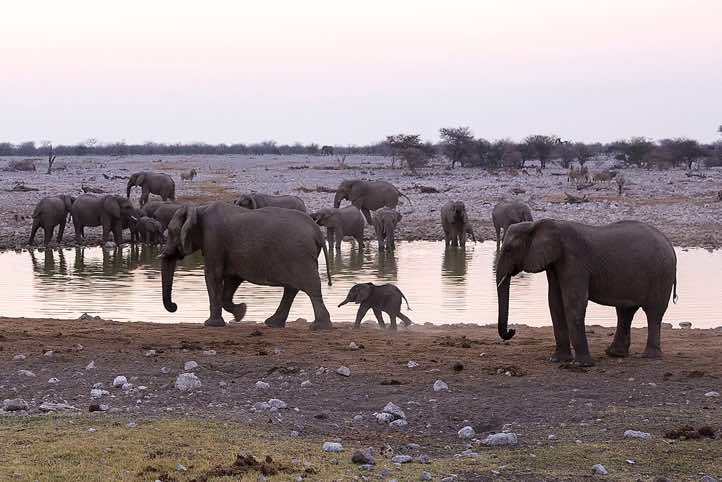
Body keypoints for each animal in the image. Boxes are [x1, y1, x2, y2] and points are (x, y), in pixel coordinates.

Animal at [160, 202, 333, 329]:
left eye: (170, 232)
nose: (175, 306)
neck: (198, 209)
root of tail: (317, 232)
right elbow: (232, 280)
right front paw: (241, 312)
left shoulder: (214, 240)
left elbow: (213, 275)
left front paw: (211, 324)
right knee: (292, 289)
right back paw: (273, 323)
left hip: (299, 256)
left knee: (310, 287)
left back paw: (319, 327)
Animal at [496, 219, 677, 366]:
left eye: (509, 249)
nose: (512, 330)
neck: (539, 224)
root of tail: (670, 245)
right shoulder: (554, 263)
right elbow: (555, 303)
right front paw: (557, 360)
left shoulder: (574, 261)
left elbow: (573, 303)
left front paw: (581, 364)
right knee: (625, 311)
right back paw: (615, 354)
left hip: (661, 274)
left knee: (653, 312)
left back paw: (650, 357)